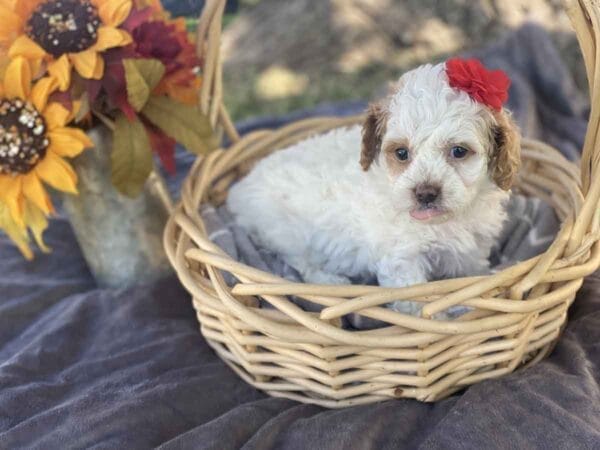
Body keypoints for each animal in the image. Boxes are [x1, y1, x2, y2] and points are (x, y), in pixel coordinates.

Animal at [227, 59, 516, 312]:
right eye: (401, 153)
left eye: (459, 151)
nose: (425, 193)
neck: (443, 223)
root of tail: (240, 189)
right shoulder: (402, 261)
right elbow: (416, 302)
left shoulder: (472, 249)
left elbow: (472, 274)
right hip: (286, 233)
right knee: (300, 263)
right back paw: (331, 281)